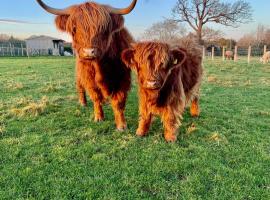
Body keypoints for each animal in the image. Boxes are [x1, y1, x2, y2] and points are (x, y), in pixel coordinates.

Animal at [35, 0, 137, 130]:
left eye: (103, 29)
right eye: (74, 28)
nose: (89, 52)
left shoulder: (123, 78)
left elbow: (118, 101)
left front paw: (121, 125)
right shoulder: (88, 78)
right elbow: (96, 97)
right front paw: (98, 117)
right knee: (80, 87)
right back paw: (83, 102)